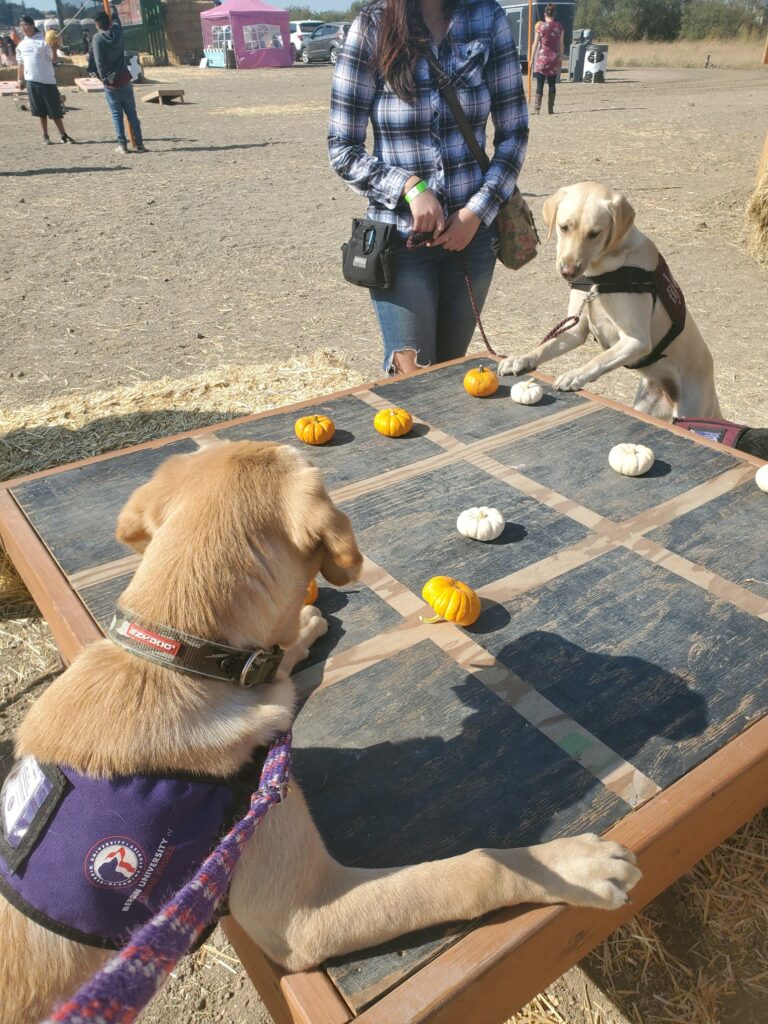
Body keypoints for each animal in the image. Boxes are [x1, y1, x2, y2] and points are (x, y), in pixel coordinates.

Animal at [1, 442, 643, 1024]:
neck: (179, 654)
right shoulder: (302, 913)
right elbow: (476, 867)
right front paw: (574, 865)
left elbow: (281, 673)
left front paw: (307, 630)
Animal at [501, 182, 724, 417]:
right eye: (564, 227)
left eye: (594, 233)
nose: (568, 271)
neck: (600, 276)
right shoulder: (575, 330)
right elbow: (545, 347)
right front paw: (521, 359)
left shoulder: (636, 340)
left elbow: (599, 359)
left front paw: (575, 375)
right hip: (645, 404)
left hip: (690, 412)